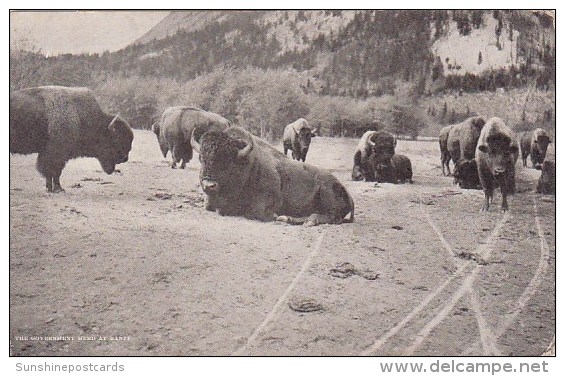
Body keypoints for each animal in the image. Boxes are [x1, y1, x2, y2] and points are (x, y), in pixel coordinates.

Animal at [192, 126, 354, 226]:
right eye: (201, 158)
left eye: (228, 160)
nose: (209, 185)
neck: (247, 163)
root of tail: (344, 189)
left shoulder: (271, 200)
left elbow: (256, 211)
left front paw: (275, 216)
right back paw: (288, 218)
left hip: (326, 192)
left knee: (331, 216)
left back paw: (302, 220)